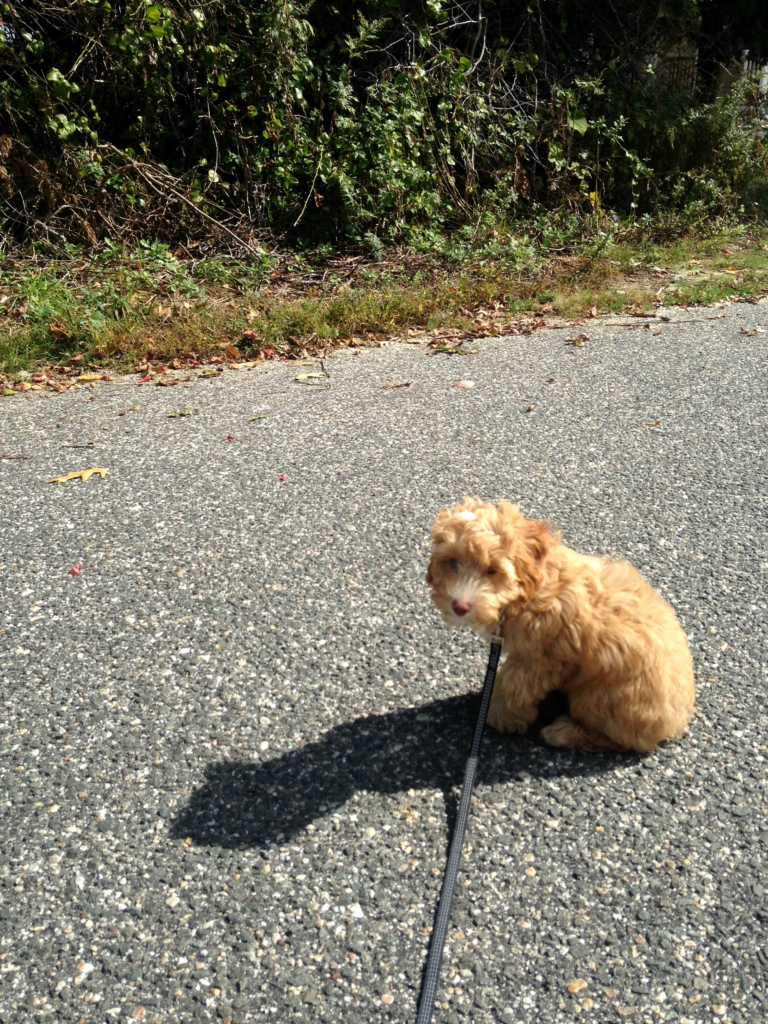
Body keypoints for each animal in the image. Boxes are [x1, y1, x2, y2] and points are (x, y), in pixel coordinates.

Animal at [428, 497, 696, 753]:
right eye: (452, 562)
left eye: (492, 570)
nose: (460, 606)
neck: (531, 589)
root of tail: (676, 723)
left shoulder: (542, 657)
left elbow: (513, 684)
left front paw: (500, 716)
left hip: (600, 699)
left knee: (619, 742)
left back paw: (564, 733)